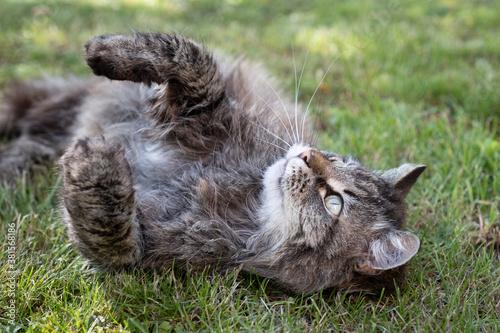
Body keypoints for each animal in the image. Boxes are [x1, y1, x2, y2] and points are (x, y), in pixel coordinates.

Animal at [0, 32, 426, 292]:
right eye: (333, 157)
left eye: (333, 202)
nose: (306, 155)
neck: (245, 195)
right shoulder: (204, 110)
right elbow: (189, 58)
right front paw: (108, 52)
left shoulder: (148, 249)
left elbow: (110, 233)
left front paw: (96, 167)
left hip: (40, 145)